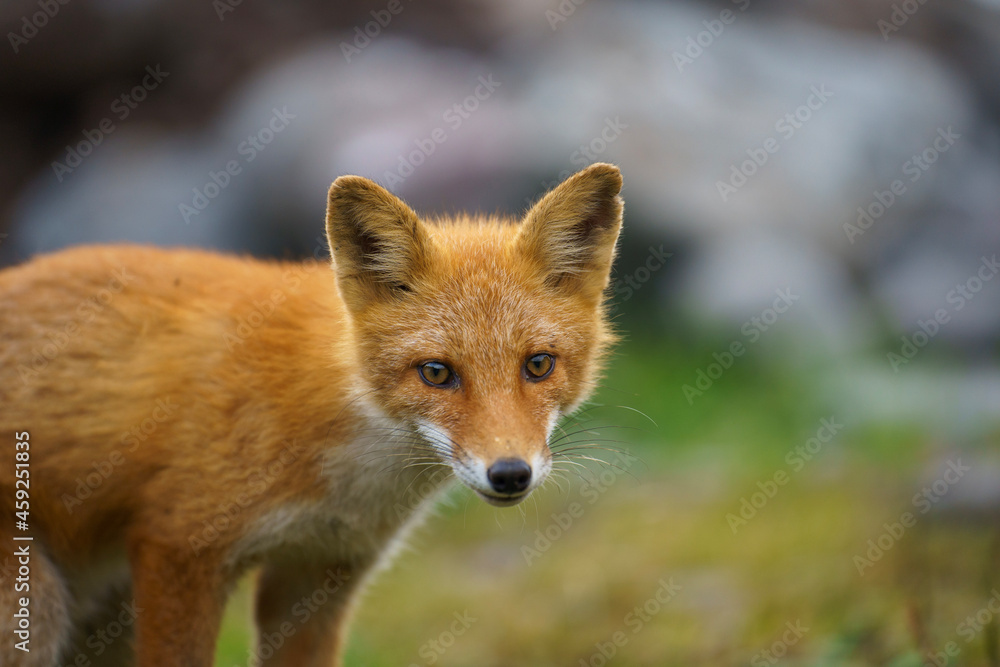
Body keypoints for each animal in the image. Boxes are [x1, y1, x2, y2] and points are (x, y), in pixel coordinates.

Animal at [0, 162, 624, 666]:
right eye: (436, 372)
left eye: (538, 365)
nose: (511, 474)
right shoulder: (180, 548)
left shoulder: (317, 573)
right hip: (42, 606)